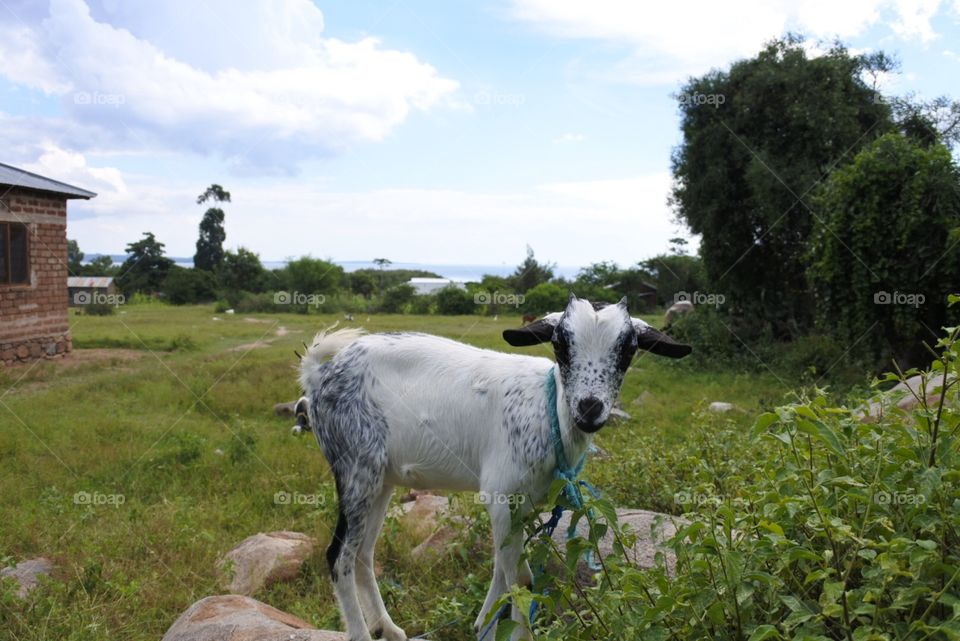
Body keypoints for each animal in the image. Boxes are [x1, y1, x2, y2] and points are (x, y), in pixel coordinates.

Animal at [297, 296, 691, 641]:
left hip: (381, 479)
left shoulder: (526, 504)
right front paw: (517, 633)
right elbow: (519, 578)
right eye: (560, 344)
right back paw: (362, 632)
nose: (589, 408)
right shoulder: (500, 494)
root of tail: (320, 374)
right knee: (338, 556)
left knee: (363, 553)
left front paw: (484, 623)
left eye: (628, 349)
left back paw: (389, 629)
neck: (547, 410)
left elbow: (508, 570)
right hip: (355, 467)